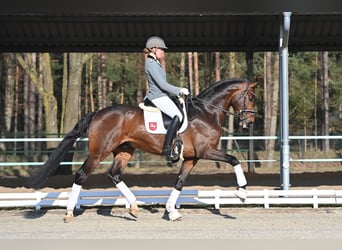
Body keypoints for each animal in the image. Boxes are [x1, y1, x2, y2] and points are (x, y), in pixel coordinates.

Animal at [29, 77, 258, 221]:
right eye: (251, 97)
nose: (250, 121)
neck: (206, 112)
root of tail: (98, 113)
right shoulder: (206, 151)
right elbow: (234, 160)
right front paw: (242, 193)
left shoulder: (192, 158)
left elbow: (180, 182)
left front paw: (171, 212)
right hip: (99, 152)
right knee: (81, 174)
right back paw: (69, 212)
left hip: (124, 150)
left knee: (114, 174)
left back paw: (133, 206)